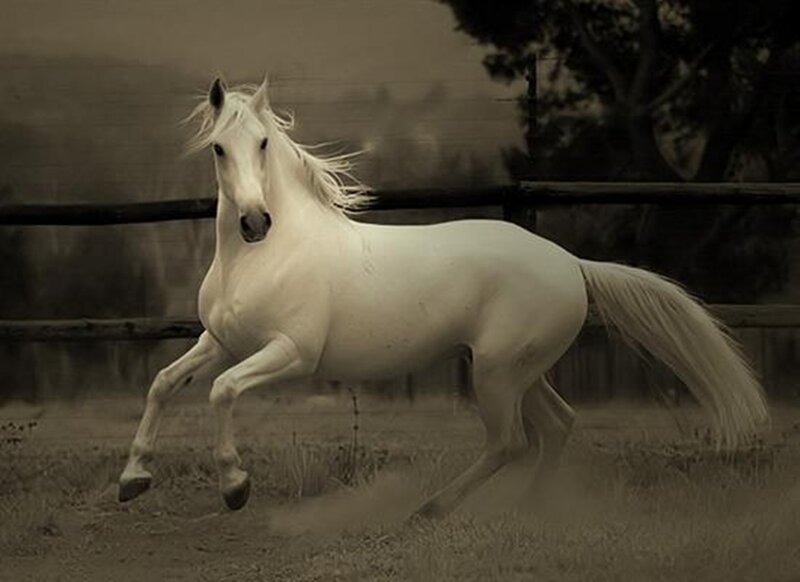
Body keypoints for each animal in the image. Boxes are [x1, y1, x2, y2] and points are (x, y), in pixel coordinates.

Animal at [118, 76, 768, 517]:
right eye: (219, 148)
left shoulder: (291, 354)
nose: (255, 222)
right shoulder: (222, 340)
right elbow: (163, 383)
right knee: (557, 424)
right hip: (517, 369)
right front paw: (133, 478)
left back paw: (429, 510)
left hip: (498, 373)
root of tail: (573, 265)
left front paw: (235, 486)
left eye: (261, 145)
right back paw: (529, 510)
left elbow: (222, 392)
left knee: (510, 442)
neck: (261, 259)